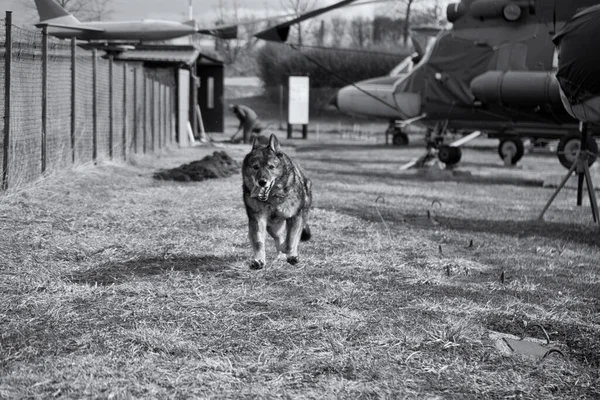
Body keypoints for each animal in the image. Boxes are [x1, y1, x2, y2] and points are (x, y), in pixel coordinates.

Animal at [241, 134, 312, 268]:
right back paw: (281, 255)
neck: (272, 200)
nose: (262, 182)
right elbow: (259, 242)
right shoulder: (257, 219)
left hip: (301, 217)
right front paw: (259, 260)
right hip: (273, 225)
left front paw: (289, 252)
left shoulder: (295, 217)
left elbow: (290, 241)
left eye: (271, 167)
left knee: (294, 238)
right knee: (278, 238)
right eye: (255, 167)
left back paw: (291, 255)